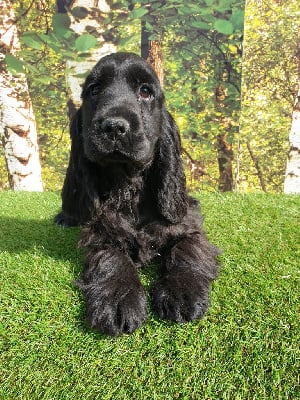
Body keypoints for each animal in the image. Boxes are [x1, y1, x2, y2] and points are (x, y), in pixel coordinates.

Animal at [55, 52, 219, 334]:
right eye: (94, 90)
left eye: (145, 91)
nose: (113, 126)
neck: (128, 184)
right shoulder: (100, 233)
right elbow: (111, 257)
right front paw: (118, 298)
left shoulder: (187, 225)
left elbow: (188, 248)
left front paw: (182, 290)